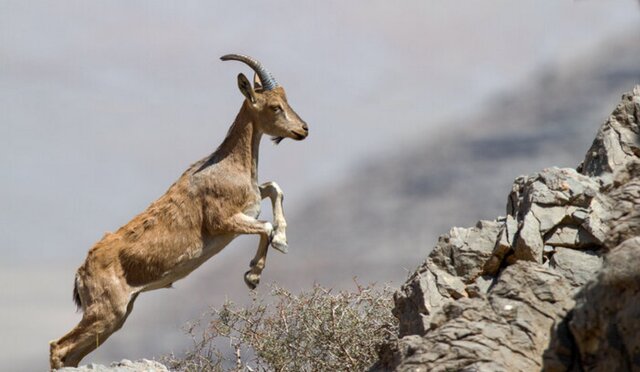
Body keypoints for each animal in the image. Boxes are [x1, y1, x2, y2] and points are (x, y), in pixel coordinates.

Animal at [47, 53, 308, 370]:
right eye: (274, 106)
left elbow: (273, 188)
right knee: (58, 347)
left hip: (116, 316)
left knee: (72, 354)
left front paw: (277, 246)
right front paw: (255, 272)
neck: (229, 164)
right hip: (106, 310)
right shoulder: (224, 221)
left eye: (286, 99)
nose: (303, 129)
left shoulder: (250, 204)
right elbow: (266, 226)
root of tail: (80, 273)